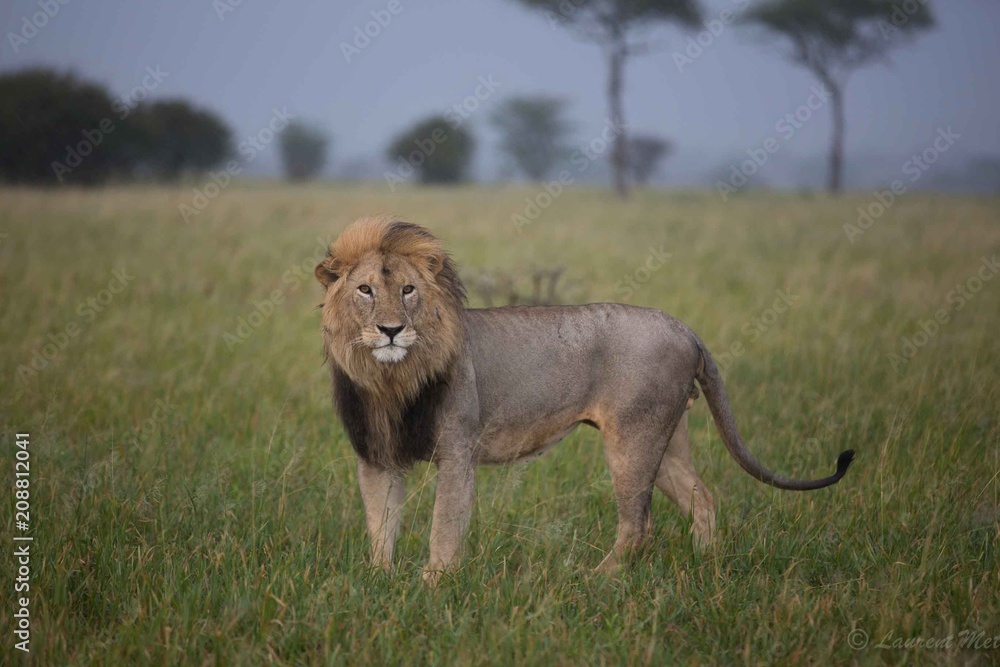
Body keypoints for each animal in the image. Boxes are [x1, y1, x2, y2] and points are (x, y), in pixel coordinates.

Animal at [315, 215, 855, 584]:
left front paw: (434, 583)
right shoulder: (376, 455)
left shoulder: (457, 450)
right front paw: (380, 580)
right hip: (668, 436)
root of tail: (684, 328)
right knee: (703, 497)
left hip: (634, 437)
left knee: (639, 524)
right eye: (365, 290)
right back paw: (706, 565)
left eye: (408, 289)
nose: (390, 330)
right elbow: (380, 523)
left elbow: (444, 525)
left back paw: (596, 580)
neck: (392, 379)